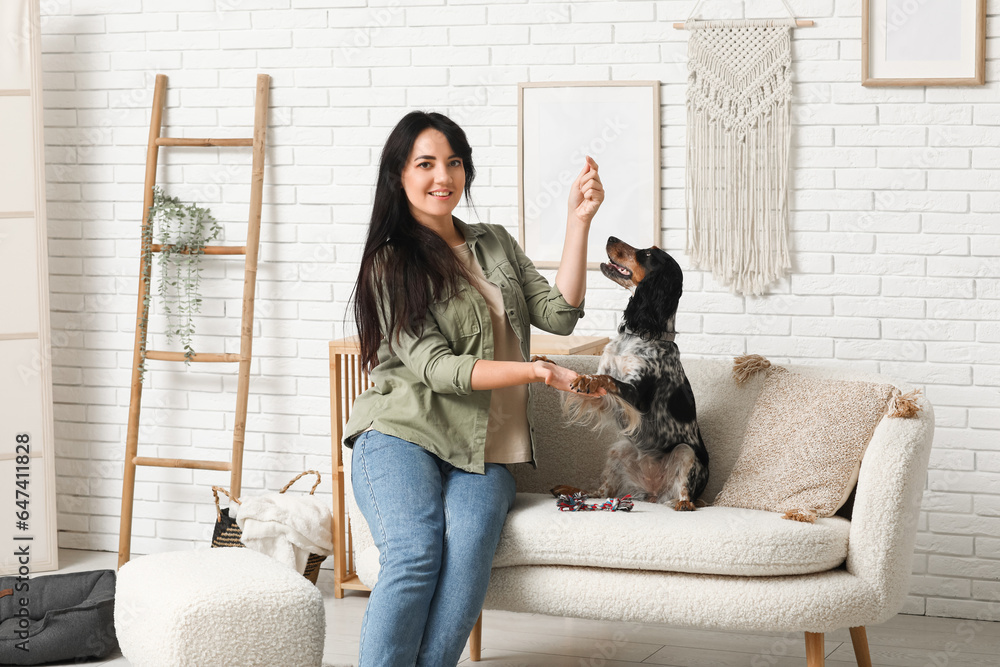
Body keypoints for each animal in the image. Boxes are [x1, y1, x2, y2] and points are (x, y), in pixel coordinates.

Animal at [552, 237, 708, 516]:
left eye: (647, 254)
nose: (610, 238)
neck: (640, 333)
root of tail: (653, 493)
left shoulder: (636, 396)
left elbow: (607, 379)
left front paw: (586, 379)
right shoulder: (606, 397)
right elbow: (588, 376)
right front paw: (545, 362)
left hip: (685, 452)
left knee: (684, 489)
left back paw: (683, 502)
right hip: (619, 450)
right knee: (600, 492)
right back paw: (569, 490)